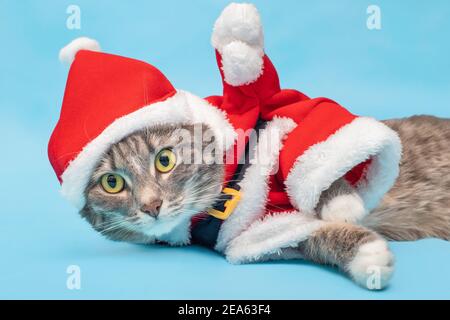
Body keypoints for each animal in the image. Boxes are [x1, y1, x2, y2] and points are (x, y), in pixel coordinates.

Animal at [81, 115, 450, 290]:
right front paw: (367, 256)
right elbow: (314, 236)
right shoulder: (268, 235)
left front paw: (342, 203)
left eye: (165, 160)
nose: (151, 205)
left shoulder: (281, 132)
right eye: (112, 183)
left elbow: (314, 150)